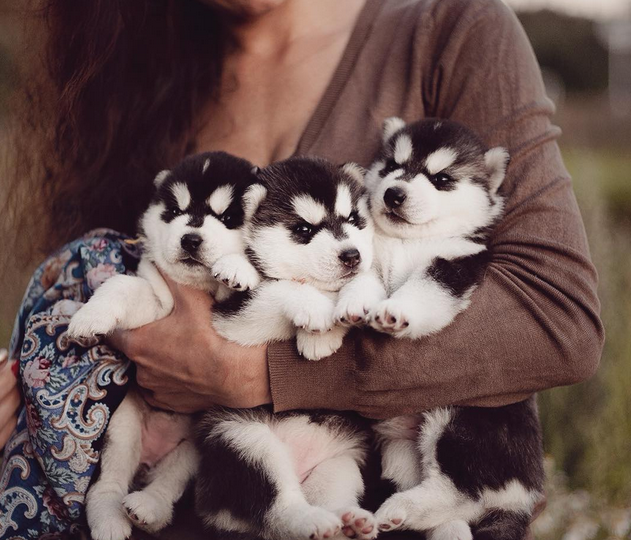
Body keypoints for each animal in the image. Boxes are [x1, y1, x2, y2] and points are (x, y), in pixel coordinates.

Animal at [66, 151, 260, 540]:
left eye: (228, 218)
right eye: (173, 211)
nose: (190, 240)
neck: (198, 287)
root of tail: (152, 457)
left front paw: (239, 268)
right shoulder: (156, 303)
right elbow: (121, 285)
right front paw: (89, 317)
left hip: (193, 451)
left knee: (168, 486)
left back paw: (148, 508)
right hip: (123, 426)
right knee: (106, 485)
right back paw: (110, 520)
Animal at [196, 158, 380, 540]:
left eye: (354, 218)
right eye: (303, 229)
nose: (351, 255)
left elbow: (368, 278)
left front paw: (347, 308)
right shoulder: (231, 319)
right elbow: (282, 288)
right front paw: (316, 317)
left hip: (340, 462)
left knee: (331, 495)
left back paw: (349, 520)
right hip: (245, 441)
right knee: (278, 506)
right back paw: (308, 520)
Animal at [336, 120, 544, 540]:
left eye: (441, 178)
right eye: (392, 166)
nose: (394, 193)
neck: (408, 241)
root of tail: (525, 491)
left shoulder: (456, 262)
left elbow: (425, 287)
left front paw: (395, 311)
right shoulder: (371, 257)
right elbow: (363, 278)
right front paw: (353, 303)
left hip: (465, 418)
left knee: (460, 491)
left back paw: (402, 507)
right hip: (400, 446)